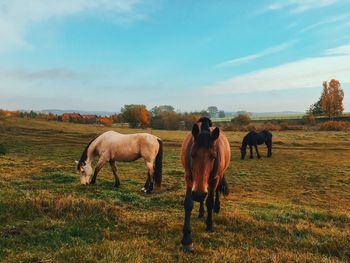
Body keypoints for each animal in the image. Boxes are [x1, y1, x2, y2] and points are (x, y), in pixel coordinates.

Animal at [179, 118, 231, 253]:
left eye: (213, 156)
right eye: (192, 154)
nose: (198, 194)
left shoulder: (214, 179)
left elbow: (210, 201)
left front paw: (209, 225)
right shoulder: (189, 177)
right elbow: (189, 203)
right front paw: (187, 240)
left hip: (218, 176)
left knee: (214, 193)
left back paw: (216, 207)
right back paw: (201, 212)